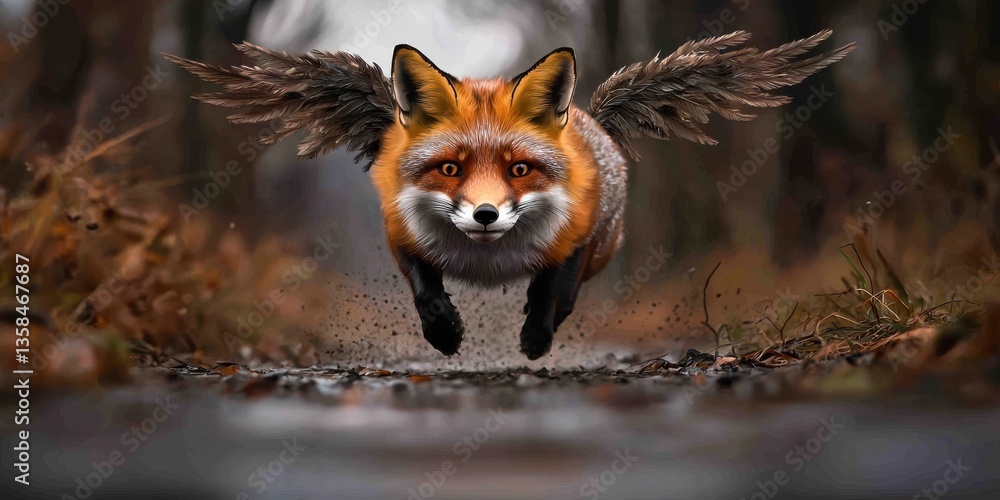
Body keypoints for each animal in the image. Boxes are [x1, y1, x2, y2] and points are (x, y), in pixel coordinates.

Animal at [165, 30, 854, 360]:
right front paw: (445, 335)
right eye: (449, 168)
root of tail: (592, 118)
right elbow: (427, 293)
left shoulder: (574, 245)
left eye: (520, 169)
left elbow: (555, 295)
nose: (486, 212)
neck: (488, 261)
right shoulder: (401, 236)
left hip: (605, 246)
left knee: (564, 292)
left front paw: (535, 337)